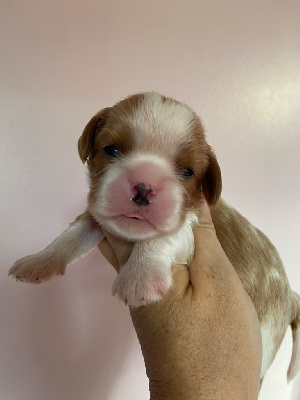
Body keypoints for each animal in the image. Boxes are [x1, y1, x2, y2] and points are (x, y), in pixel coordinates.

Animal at [8, 90, 300, 382]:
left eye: (187, 172)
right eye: (111, 150)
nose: (143, 188)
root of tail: (290, 294)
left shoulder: (189, 226)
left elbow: (161, 237)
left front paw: (140, 276)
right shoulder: (99, 217)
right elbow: (72, 235)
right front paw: (39, 261)